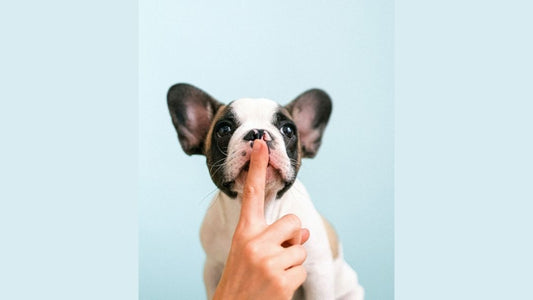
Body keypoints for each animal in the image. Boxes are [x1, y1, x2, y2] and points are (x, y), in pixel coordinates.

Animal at [167, 82, 366, 300]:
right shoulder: (212, 268)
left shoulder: (317, 272)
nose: (257, 132)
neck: (262, 208)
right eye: (224, 129)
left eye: (288, 130)